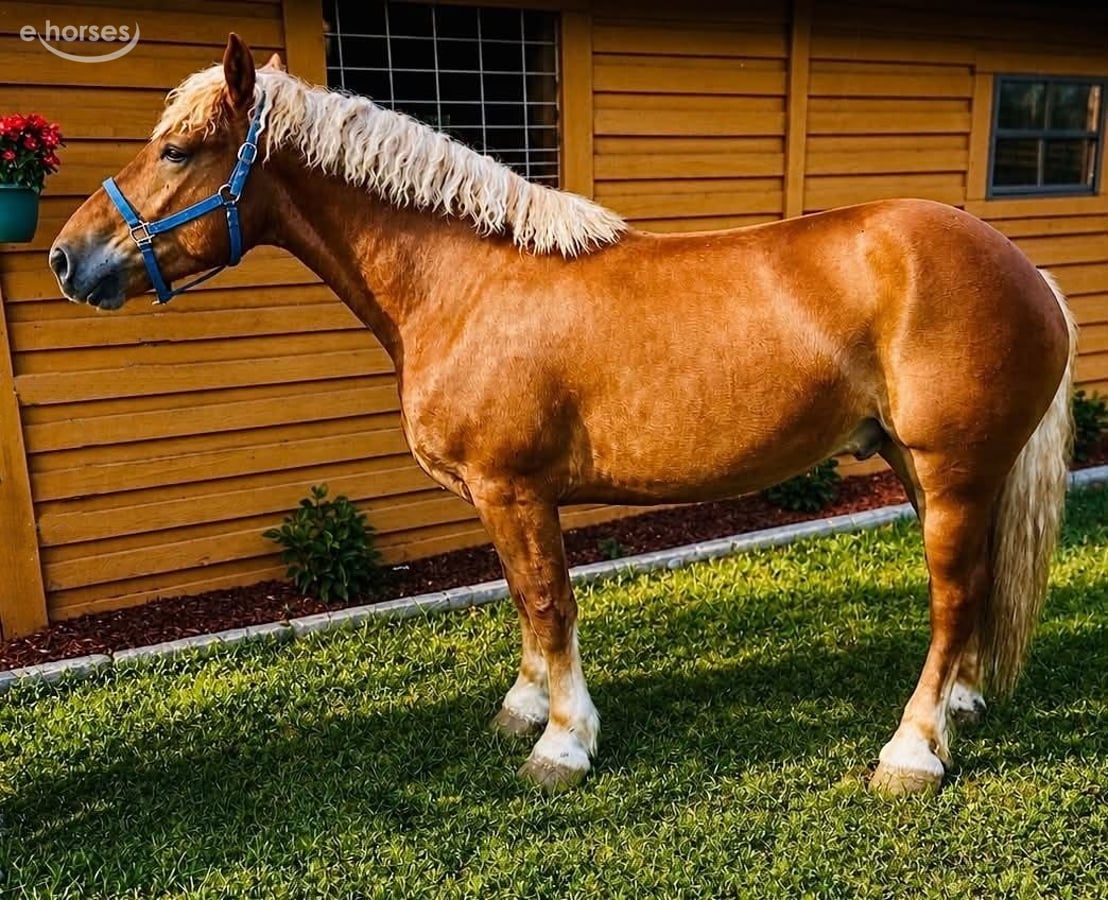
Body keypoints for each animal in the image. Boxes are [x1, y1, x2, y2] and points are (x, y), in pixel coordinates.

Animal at [51, 35, 1075, 795]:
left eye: (177, 150)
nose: (67, 258)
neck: (463, 281)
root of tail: (1029, 272)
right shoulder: (496, 498)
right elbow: (521, 599)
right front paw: (524, 708)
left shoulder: (515, 489)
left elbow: (548, 601)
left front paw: (563, 741)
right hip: (922, 467)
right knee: (974, 587)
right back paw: (962, 707)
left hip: (951, 469)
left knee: (952, 595)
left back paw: (912, 751)